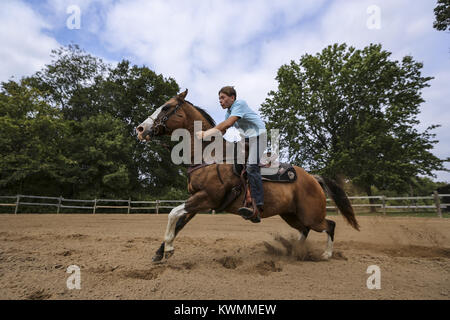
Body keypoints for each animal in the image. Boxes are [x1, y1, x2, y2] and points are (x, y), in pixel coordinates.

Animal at [135, 89, 360, 262]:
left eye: (166, 107)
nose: (140, 128)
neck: (210, 154)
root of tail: (313, 178)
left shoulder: (207, 197)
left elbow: (173, 214)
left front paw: (168, 249)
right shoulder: (197, 199)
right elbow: (179, 223)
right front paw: (160, 253)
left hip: (311, 214)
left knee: (329, 225)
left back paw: (326, 254)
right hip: (290, 214)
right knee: (305, 230)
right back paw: (295, 251)